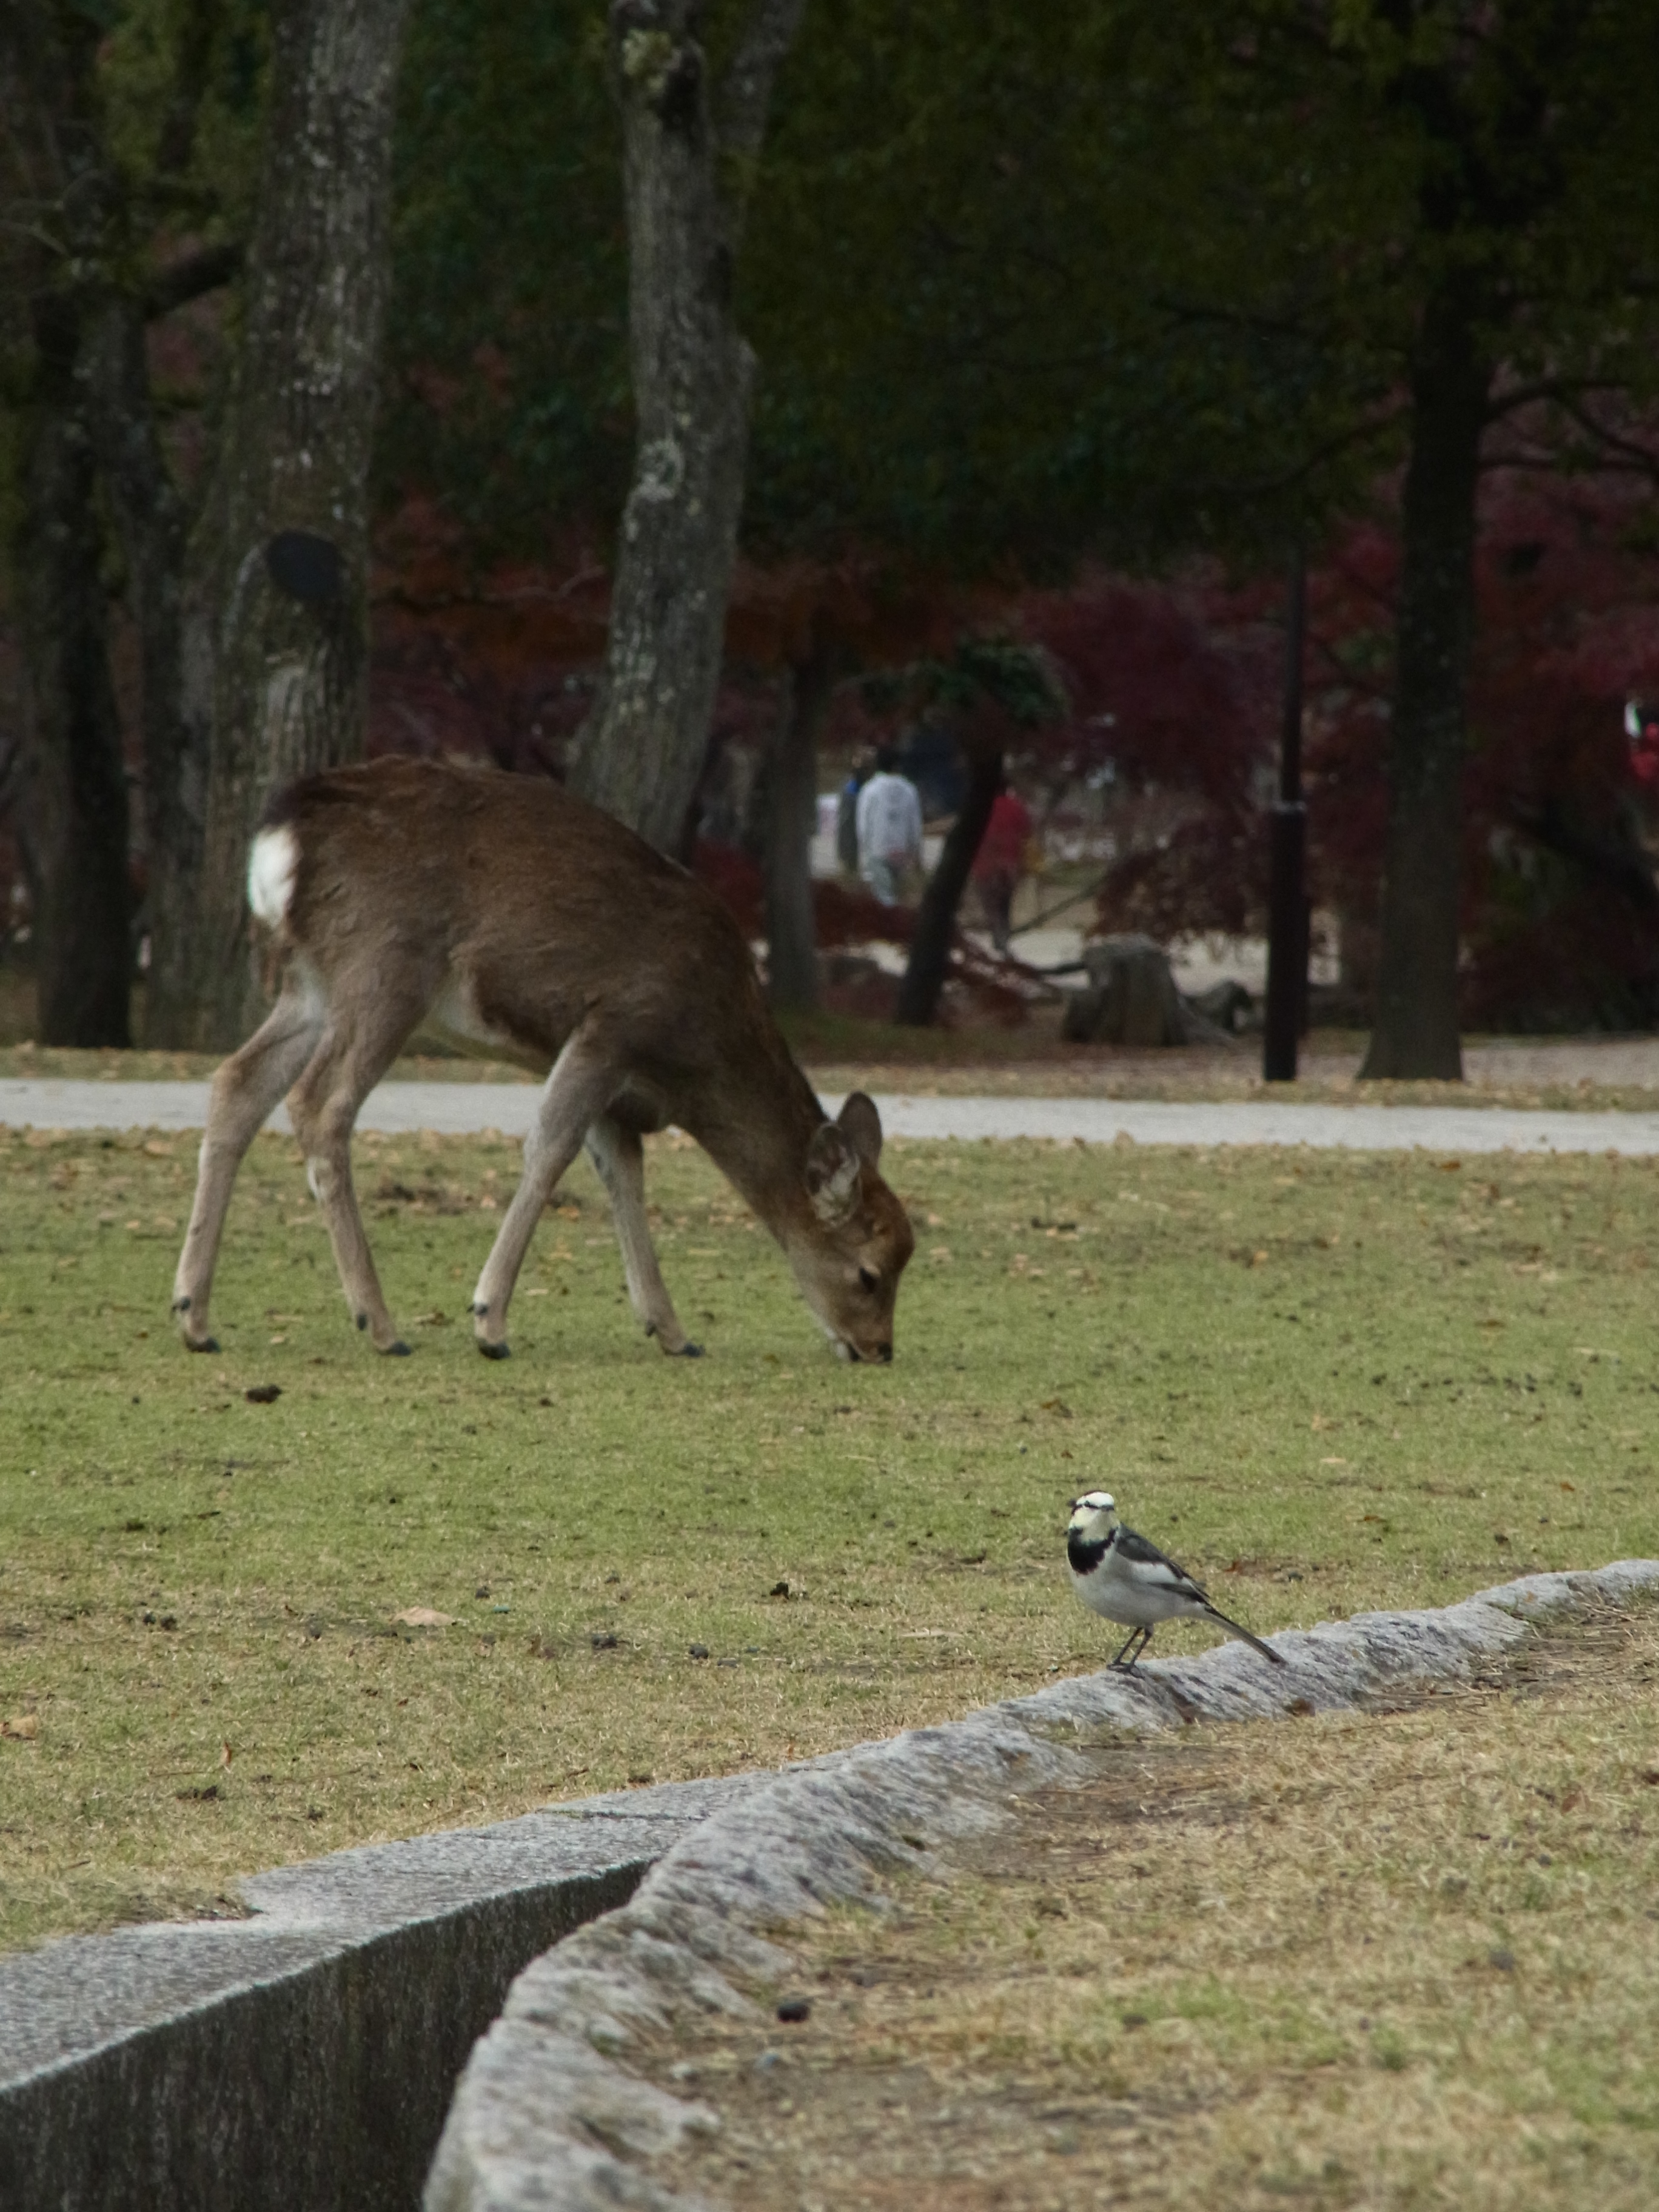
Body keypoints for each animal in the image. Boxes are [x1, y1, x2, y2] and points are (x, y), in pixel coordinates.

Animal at [171, 757, 914, 1364]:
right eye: (869, 1272)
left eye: (908, 1257)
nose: (879, 1349)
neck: (697, 1059)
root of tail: (282, 835)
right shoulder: (611, 1028)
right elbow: (551, 1147)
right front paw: (489, 1321)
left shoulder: (621, 1095)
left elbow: (624, 1178)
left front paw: (672, 1331)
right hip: (385, 965)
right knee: (320, 1103)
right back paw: (380, 1323)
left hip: (312, 983)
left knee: (237, 1081)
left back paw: (194, 1316)